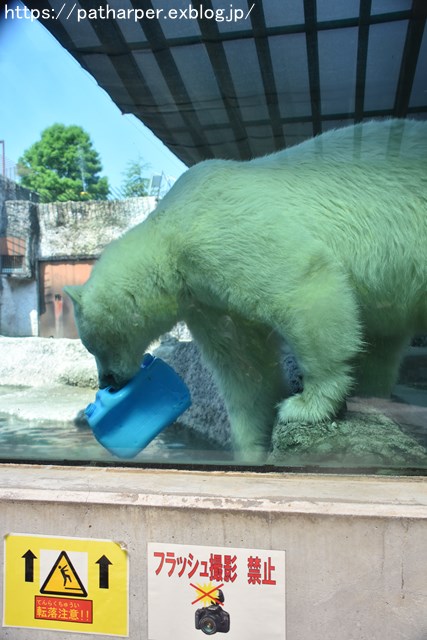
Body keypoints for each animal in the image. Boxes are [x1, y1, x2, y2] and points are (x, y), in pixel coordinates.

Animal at [65, 119, 426, 460]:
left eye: (94, 345)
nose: (108, 382)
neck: (165, 233)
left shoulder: (216, 230)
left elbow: (303, 280)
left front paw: (305, 405)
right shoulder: (205, 299)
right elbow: (244, 364)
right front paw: (251, 447)